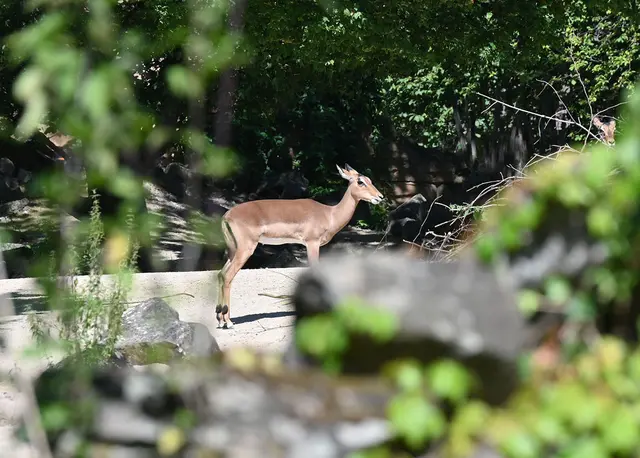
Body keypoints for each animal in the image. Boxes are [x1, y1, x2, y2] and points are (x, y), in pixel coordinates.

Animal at [216, 164, 384, 329]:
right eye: (360, 181)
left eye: (370, 180)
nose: (380, 197)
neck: (330, 214)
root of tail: (226, 216)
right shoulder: (312, 244)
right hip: (245, 249)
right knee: (228, 276)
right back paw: (228, 322)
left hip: (233, 251)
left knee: (221, 274)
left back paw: (220, 319)